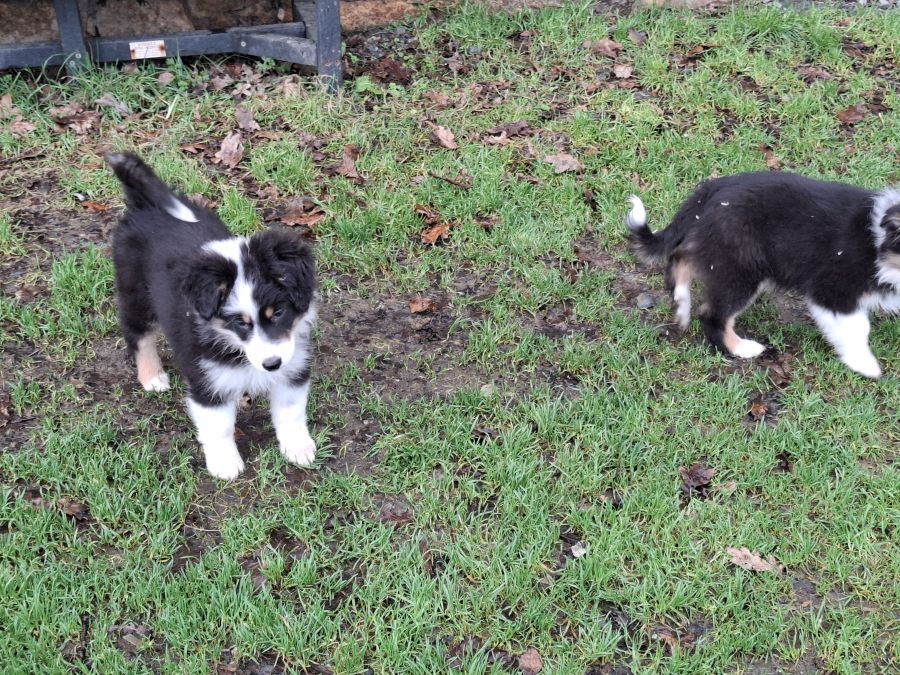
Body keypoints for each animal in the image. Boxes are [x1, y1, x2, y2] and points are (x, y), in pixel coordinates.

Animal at [107, 152, 318, 479]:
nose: (271, 364)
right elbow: (218, 426)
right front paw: (225, 465)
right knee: (138, 335)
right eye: (240, 323)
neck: (234, 346)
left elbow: (291, 412)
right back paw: (152, 377)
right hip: (135, 292)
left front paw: (298, 448)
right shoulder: (206, 380)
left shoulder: (293, 366)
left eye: (279, 313)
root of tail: (145, 204)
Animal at [626, 172, 900, 378]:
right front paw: (865, 364)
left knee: (682, 257)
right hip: (742, 269)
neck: (877, 243)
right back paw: (742, 349)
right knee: (713, 314)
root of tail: (713, 189)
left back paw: (681, 304)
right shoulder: (832, 290)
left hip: (719, 250)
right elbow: (857, 327)